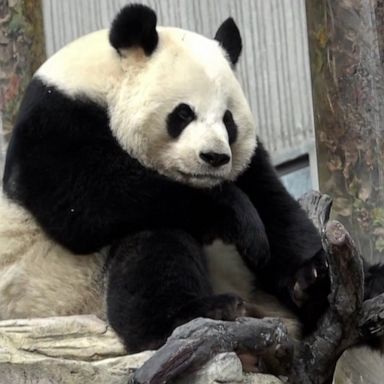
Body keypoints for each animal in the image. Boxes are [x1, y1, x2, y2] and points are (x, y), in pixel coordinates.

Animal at [0, 3, 384, 360]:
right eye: (183, 113)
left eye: (228, 120)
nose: (214, 158)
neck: (103, 79)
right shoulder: (56, 121)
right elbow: (84, 200)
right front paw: (238, 217)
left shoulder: (245, 162)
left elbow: (275, 207)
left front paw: (314, 277)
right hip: (66, 295)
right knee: (155, 235)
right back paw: (192, 315)